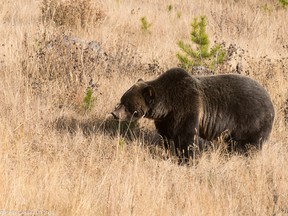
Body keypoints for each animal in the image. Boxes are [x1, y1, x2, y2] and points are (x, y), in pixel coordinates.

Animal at [111, 67, 274, 159]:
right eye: (122, 99)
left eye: (127, 104)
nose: (114, 113)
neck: (167, 105)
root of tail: (271, 103)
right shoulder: (166, 119)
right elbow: (167, 136)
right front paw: (170, 151)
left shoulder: (186, 107)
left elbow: (186, 136)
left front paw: (187, 158)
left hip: (250, 119)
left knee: (247, 145)